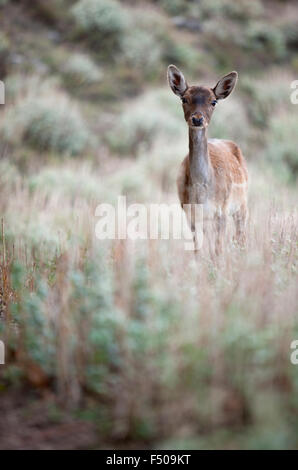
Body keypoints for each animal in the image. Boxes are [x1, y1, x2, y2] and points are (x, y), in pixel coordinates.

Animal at [166, 64, 248, 255]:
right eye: (184, 99)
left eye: (213, 101)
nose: (197, 119)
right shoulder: (190, 213)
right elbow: (198, 250)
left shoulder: (222, 210)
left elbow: (218, 249)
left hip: (242, 204)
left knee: (241, 235)